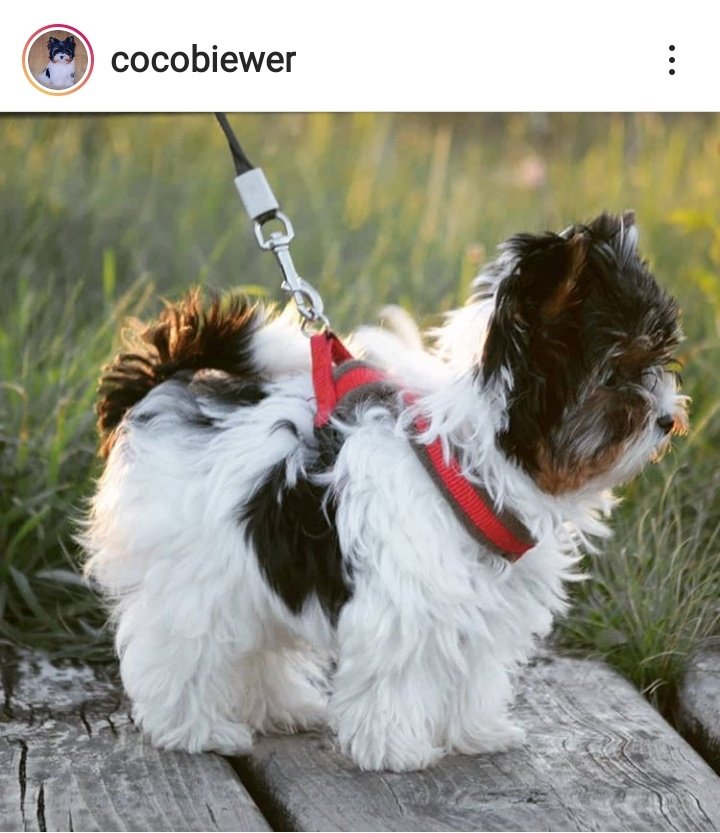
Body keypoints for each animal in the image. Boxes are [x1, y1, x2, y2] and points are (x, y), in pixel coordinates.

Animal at [81, 211, 687, 771]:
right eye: (616, 372)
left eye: (658, 363)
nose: (666, 419)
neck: (471, 466)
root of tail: (166, 387)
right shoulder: (401, 608)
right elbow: (396, 678)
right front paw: (396, 749)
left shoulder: (481, 608)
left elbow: (475, 671)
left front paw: (476, 732)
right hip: (193, 573)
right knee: (179, 648)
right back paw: (195, 728)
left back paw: (282, 707)